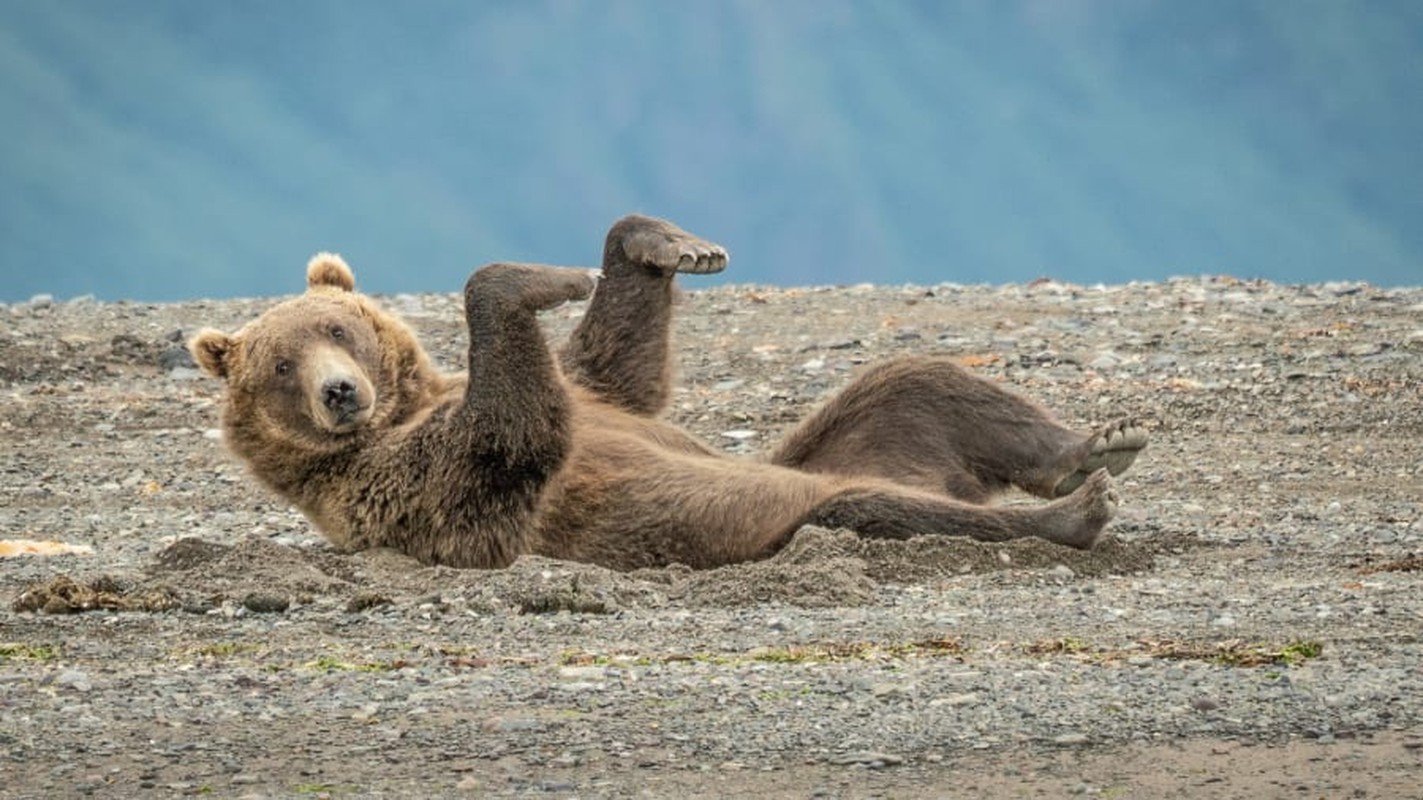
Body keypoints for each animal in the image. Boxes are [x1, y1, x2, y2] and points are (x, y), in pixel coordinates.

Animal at [189, 214, 1149, 569]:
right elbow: (511, 436)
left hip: (856, 436)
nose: (341, 394)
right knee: (877, 507)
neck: (407, 406)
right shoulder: (403, 485)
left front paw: (670, 246)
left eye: (338, 328)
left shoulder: (594, 393)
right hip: (782, 509)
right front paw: (539, 278)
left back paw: (1096, 446)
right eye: (279, 366)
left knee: (915, 381)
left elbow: (616, 365)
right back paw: (1072, 512)